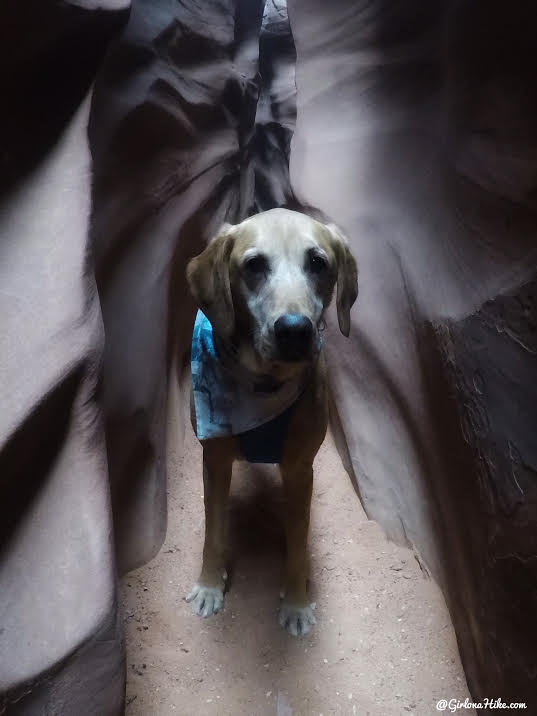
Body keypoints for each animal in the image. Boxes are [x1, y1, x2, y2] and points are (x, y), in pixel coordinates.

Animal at [184, 207, 356, 636]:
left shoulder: (299, 469)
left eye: (318, 263)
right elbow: (214, 531)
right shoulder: (215, 462)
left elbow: (298, 542)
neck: (263, 382)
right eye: (254, 265)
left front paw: (296, 601)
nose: (294, 330)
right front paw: (209, 584)